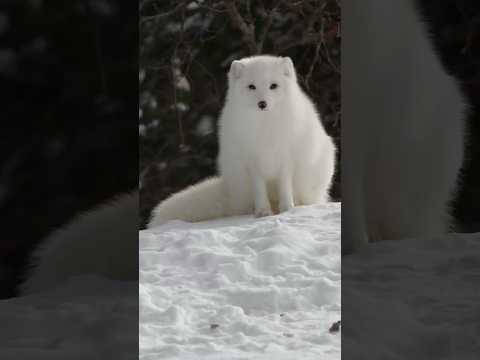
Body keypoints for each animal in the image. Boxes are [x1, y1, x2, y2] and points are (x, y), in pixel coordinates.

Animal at [148, 54, 336, 226]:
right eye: (251, 87)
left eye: (273, 86)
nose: (262, 103)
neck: (264, 130)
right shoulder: (251, 161)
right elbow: (259, 190)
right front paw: (262, 212)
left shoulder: (286, 159)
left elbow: (284, 186)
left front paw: (287, 209)